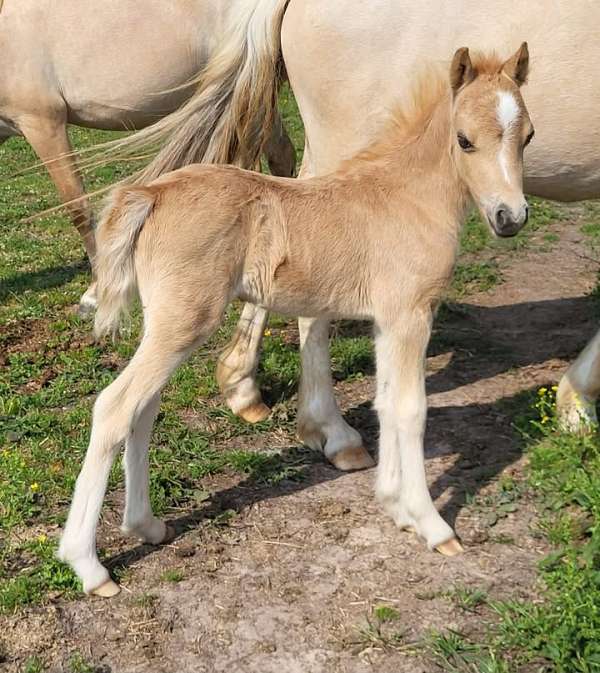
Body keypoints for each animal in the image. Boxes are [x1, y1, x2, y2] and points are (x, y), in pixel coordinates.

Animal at [57, 45, 533, 597]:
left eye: (528, 136)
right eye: (464, 140)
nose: (510, 218)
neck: (406, 197)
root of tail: (152, 195)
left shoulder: (387, 321)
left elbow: (386, 403)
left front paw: (395, 506)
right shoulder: (411, 315)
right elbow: (411, 409)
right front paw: (432, 525)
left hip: (170, 325)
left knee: (142, 410)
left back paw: (147, 526)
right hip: (184, 323)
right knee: (114, 408)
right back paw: (89, 566)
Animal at [103, 0, 600, 457]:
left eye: (530, 136)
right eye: (464, 140)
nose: (510, 217)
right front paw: (575, 405)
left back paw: (245, 389)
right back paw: (332, 432)